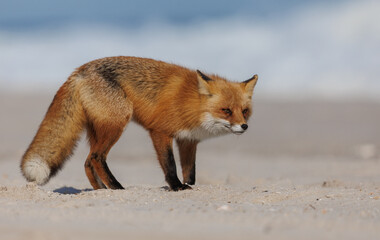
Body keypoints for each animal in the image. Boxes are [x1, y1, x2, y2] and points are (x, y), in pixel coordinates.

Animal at [20, 55, 258, 189]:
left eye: (244, 111)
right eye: (226, 111)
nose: (244, 126)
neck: (191, 103)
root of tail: (79, 71)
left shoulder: (188, 140)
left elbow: (190, 172)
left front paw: (187, 185)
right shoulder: (160, 132)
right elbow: (170, 165)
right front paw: (177, 187)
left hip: (99, 129)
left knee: (87, 162)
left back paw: (101, 190)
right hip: (117, 124)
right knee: (96, 158)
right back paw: (116, 187)